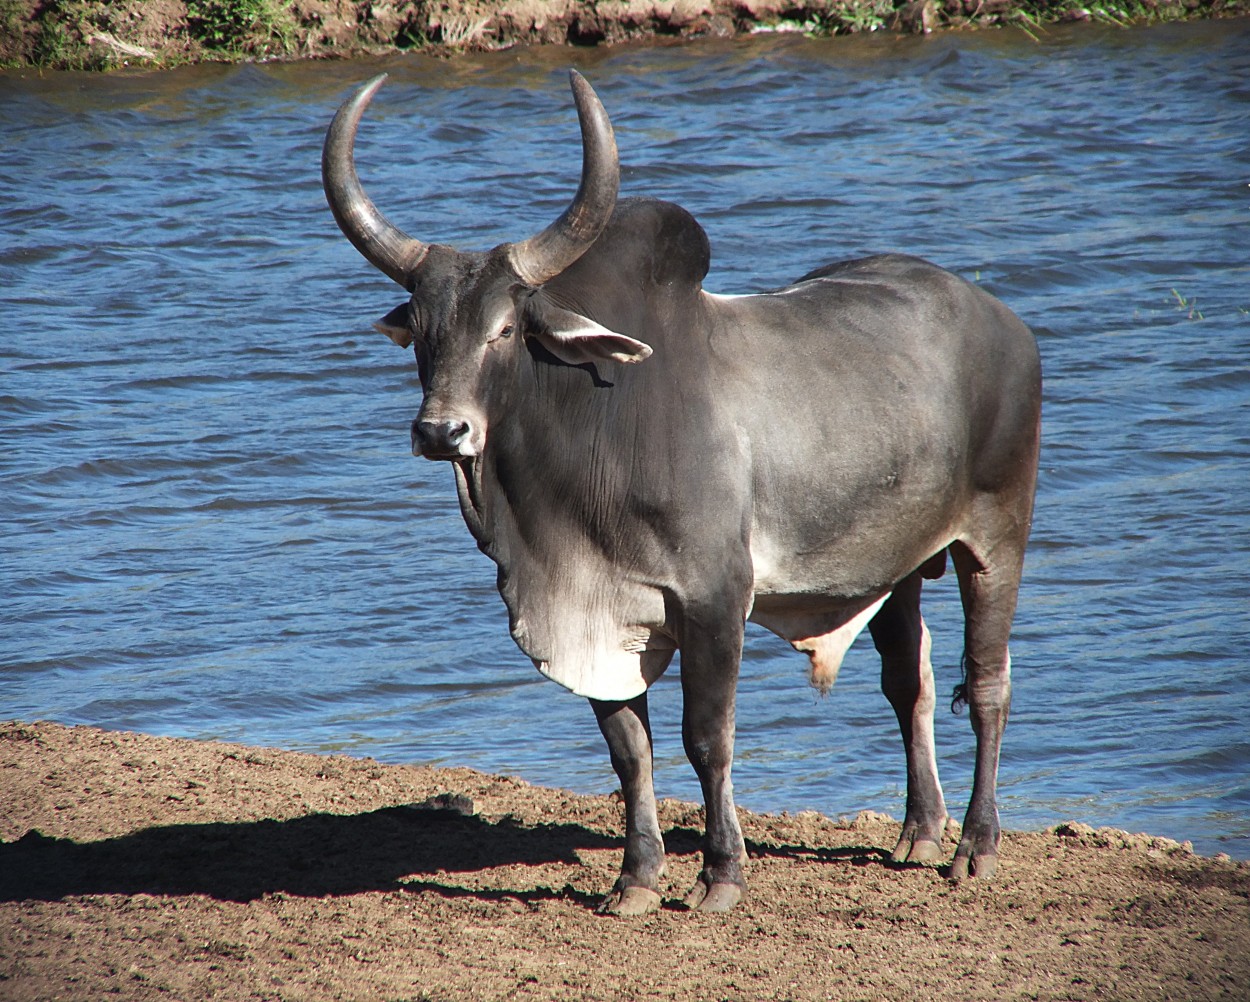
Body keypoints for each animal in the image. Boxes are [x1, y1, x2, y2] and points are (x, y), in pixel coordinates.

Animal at [322, 72, 1045, 914]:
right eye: (424, 331)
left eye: (504, 329)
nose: (443, 430)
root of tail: (1003, 318)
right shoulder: (601, 613)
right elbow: (629, 751)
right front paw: (636, 878)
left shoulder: (714, 598)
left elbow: (707, 738)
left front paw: (720, 874)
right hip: (897, 565)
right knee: (911, 682)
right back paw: (920, 832)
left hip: (996, 536)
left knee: (989, 684)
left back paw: (974, 846)